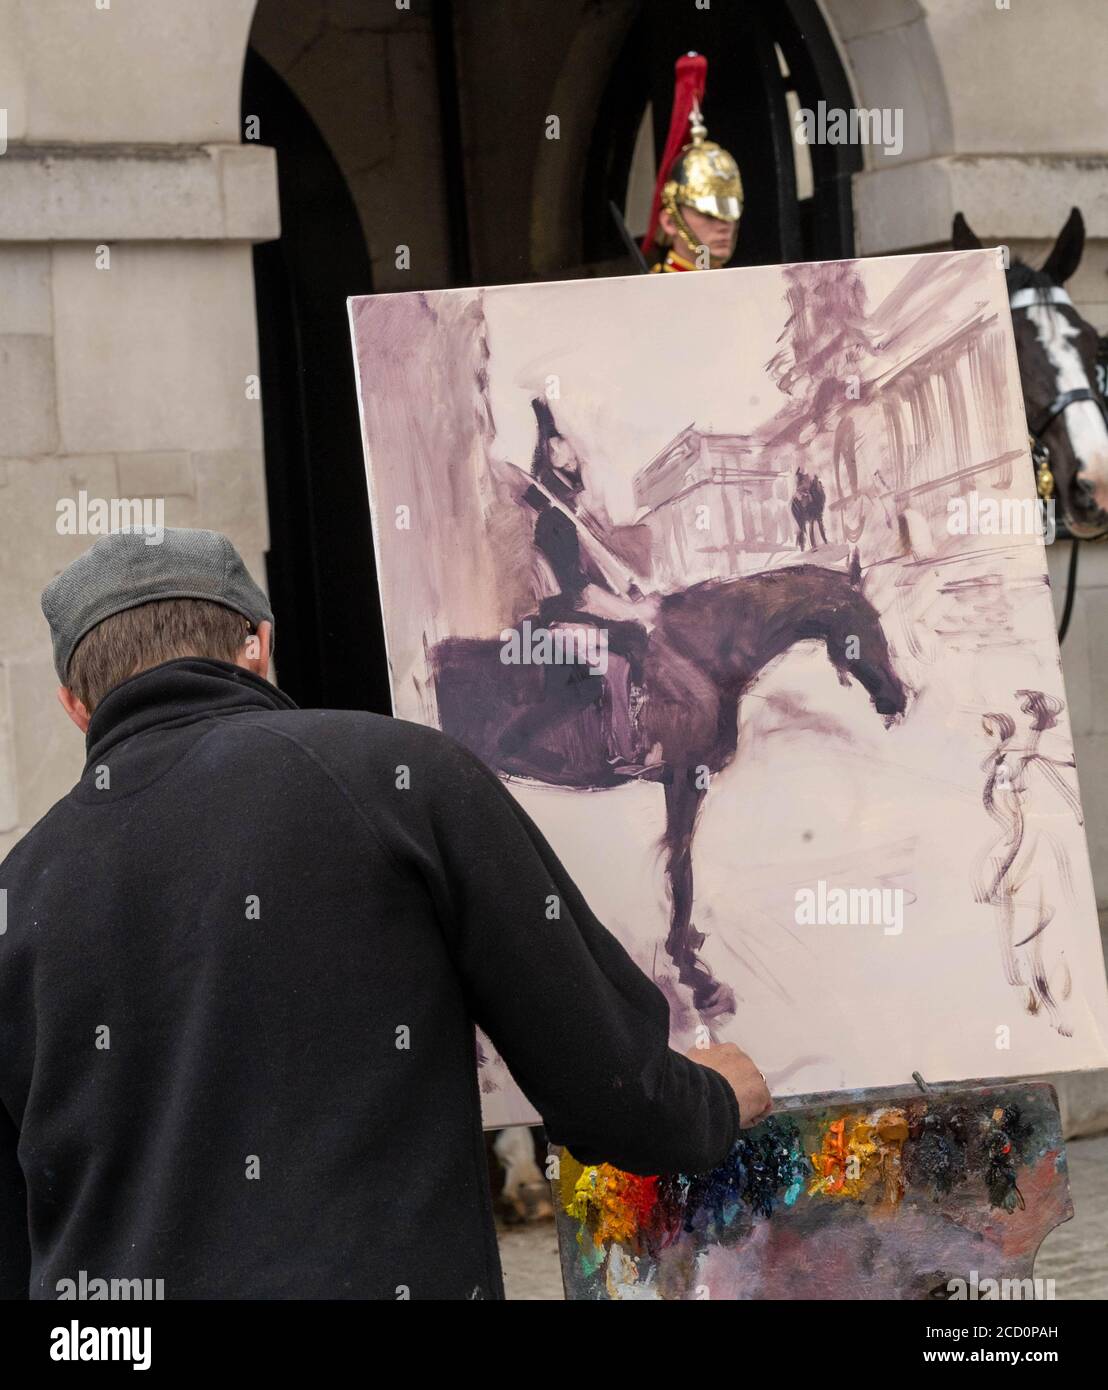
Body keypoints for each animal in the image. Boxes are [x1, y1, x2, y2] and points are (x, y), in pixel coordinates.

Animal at [428, 553, 900, 1023]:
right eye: (867, 622)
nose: (897, 699)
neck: (700, 656)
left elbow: (679, 861)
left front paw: (687, 945)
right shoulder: (685, 778)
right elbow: (680, 866)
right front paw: (696, 976)